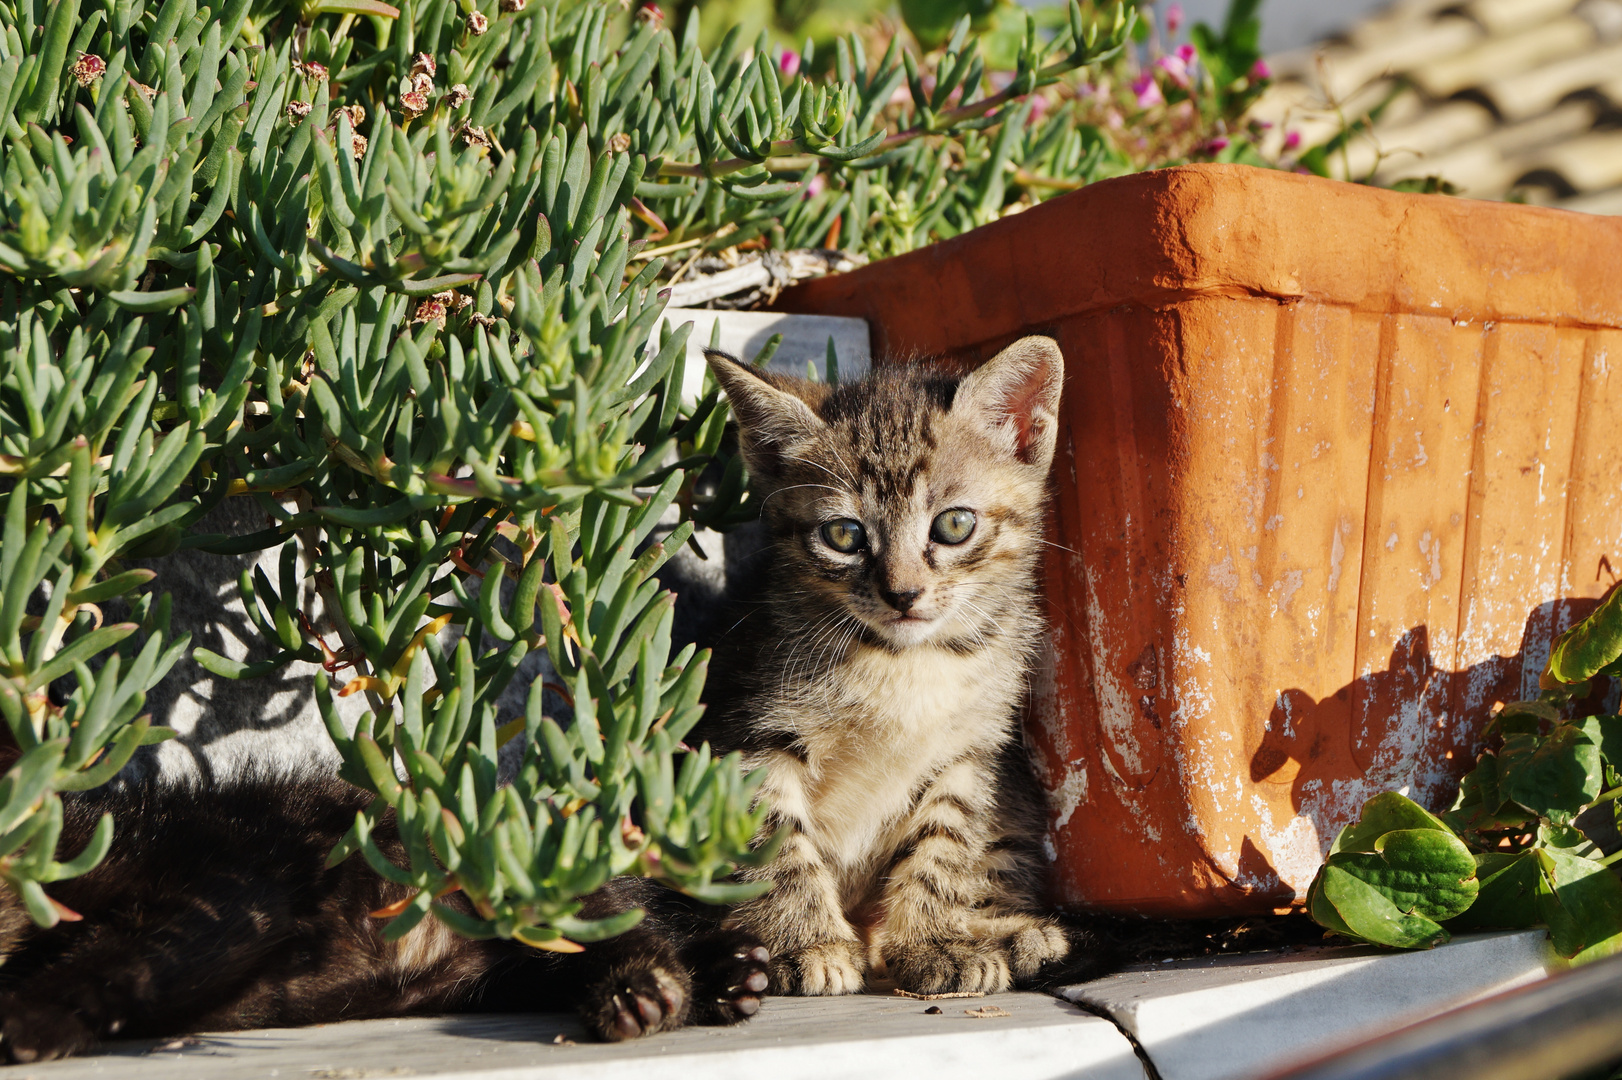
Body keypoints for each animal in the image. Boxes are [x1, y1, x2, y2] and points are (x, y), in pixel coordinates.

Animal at [0, 765, 768, 1057]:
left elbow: (128, 959)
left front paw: (33, 1020)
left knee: (628, 927)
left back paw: (649, 991)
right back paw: (733, 975)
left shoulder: (230, 872)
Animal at [690, 334, 1083, 992]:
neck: (905, 664)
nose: (903, 594)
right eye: (844, 536)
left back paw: (1009, 931)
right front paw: (805, 943)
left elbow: (943, 847)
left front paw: (932, 942)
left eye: (954, 524)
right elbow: (775, 842)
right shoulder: (749, 736)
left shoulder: (968, 752)